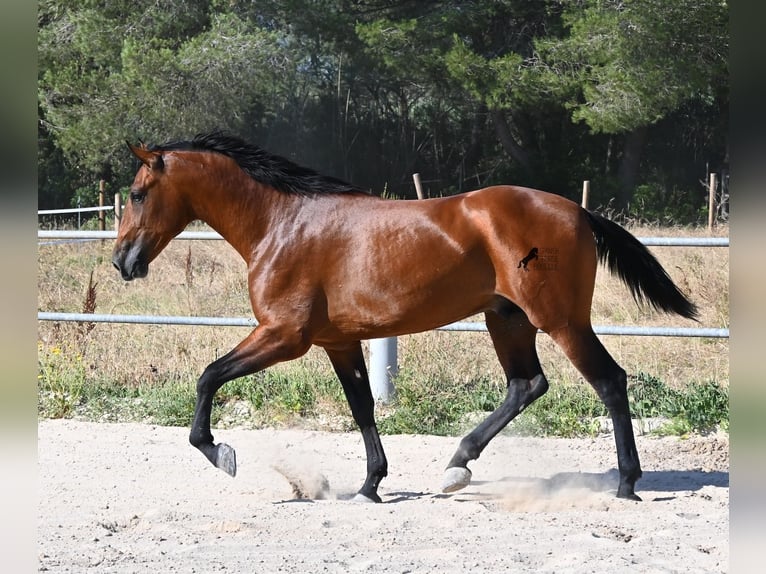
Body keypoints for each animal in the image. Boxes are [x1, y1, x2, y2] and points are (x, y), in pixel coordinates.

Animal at [112, 131, 697, 503]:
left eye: (138, 194)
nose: (122, 262)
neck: (282, 224)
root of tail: (577, 210)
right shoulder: (337, 342)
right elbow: (363, 409)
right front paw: (371, 486)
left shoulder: (284, 336)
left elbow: (208, 376)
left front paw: (220, 453)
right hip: (507, 320)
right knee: (526, 385)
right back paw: (457, 465)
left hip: (560, 321)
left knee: (609, 381)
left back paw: (626, 485)